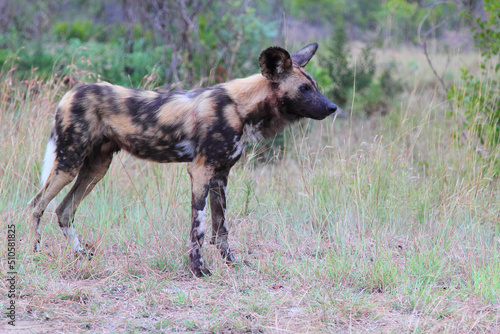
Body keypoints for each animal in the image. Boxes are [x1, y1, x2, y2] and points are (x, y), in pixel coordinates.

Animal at [28, 43, 340, 276]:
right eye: (304, 89)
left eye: (314, 86)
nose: (332, 107)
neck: (240, 108)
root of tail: (69, 93)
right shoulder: (201, 171)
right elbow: (199, 228)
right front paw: (198, 269)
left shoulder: (220, 176)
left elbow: (221, 228)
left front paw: (232, 264)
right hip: (68, 165)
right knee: (36, 205)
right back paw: (35, 255)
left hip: (95, 169)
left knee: (64, 211)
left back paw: (81, 255)